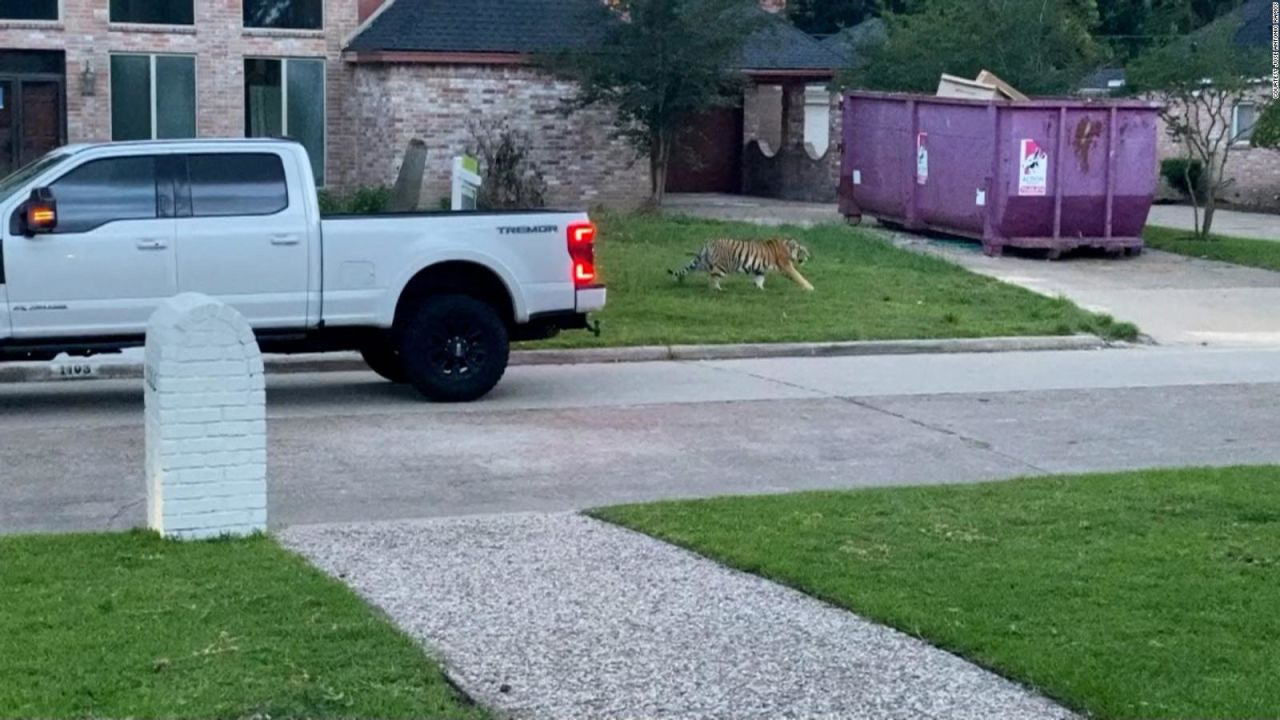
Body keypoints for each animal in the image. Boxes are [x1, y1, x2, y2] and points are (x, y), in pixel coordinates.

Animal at [665, 237, 814, 289]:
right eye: (803, 251)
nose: (809, 257)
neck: (788, 247)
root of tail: (708, 243)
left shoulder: (760, 269)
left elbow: (760, 279)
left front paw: (760, 288)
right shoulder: (787, 266)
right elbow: (798, 277)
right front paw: (810, 288)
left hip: (702, 262)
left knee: (686, 269)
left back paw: (679, 280)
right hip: (722, 266)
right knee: (713, 277)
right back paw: (717, 289)